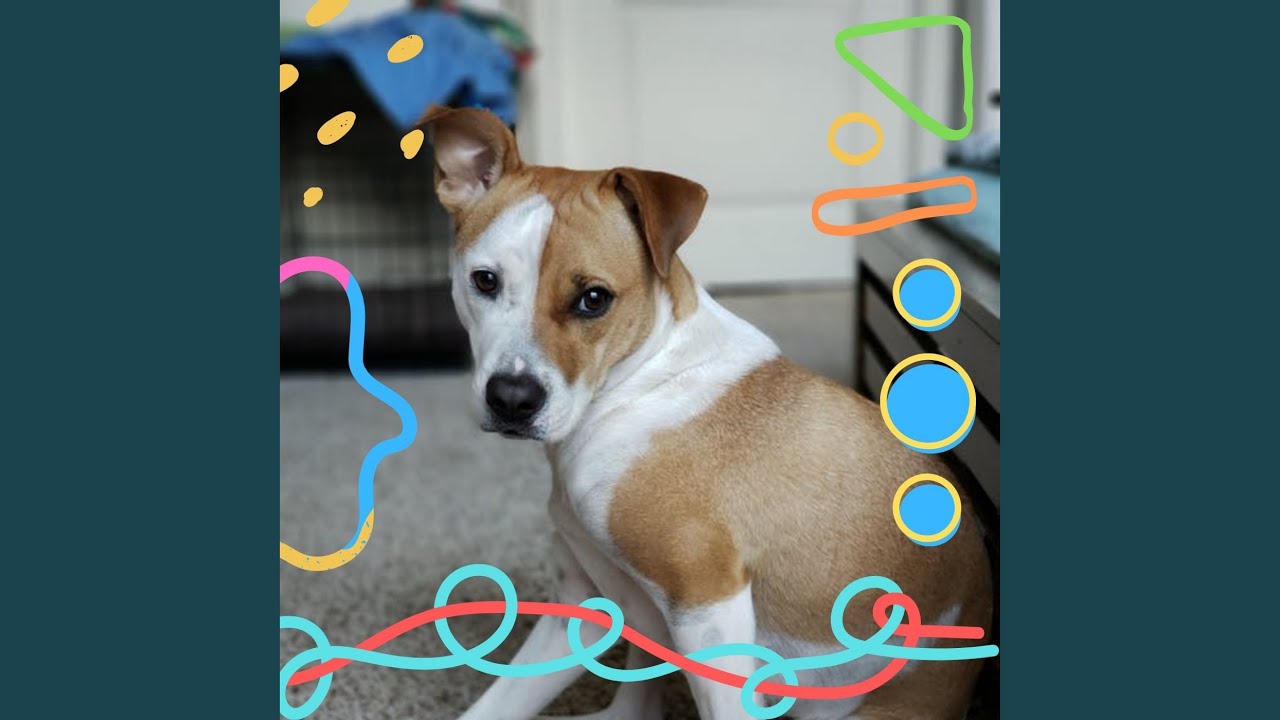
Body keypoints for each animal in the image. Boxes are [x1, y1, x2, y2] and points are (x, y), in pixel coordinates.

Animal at [420, 105, 992, 720]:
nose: (512, 400)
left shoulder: (706, 598)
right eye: (485, 281)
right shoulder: (586, 604)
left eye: (594, 299)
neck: (638, 386)